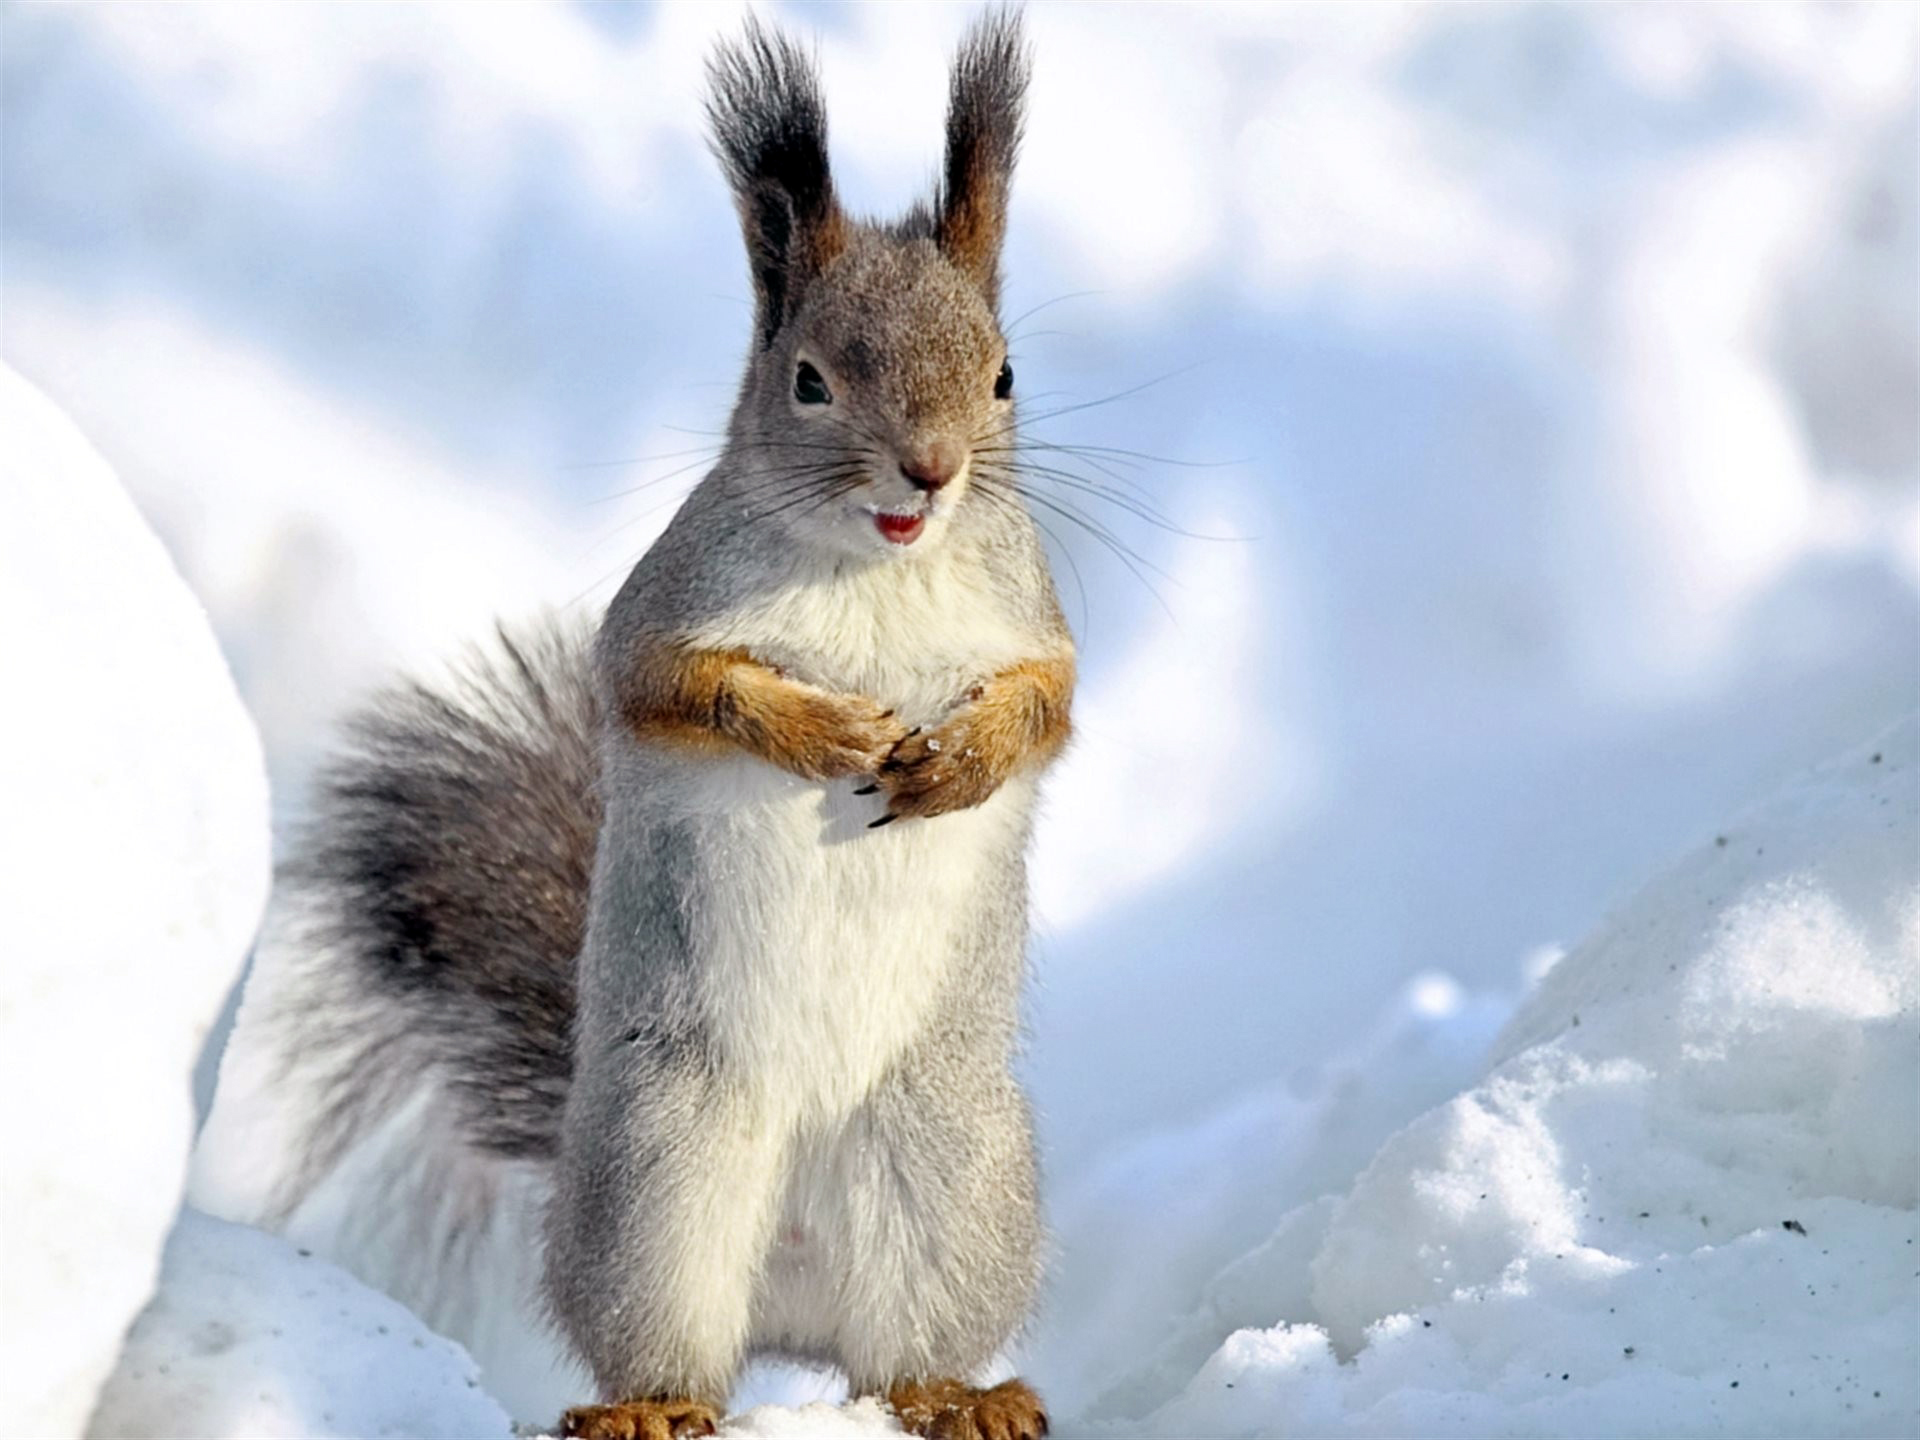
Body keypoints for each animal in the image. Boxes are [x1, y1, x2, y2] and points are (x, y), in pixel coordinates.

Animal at [192, 11, 1075, 1440]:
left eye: (1004, 374)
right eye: (809, 382)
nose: (931, 472)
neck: (879, 564)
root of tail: (792, 1300)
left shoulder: (1035, 620)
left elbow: (1049, 709)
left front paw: (960, 761)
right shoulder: (659, 616)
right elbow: (674, 690)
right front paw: (820, 732)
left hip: (947, 1170)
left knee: (904, 1349)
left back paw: (956, 1393)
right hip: (663, 1171)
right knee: (667, 1342)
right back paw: (647, 1408)